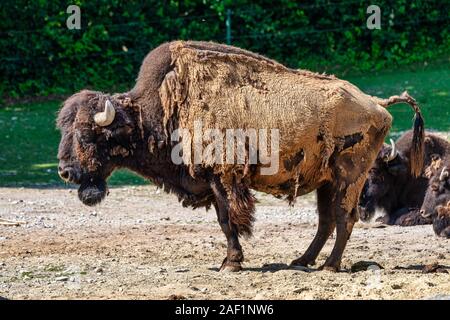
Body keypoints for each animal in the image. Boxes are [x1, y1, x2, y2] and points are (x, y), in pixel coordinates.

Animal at [57, 40, 426, 272]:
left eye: (88, 134)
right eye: (64, 129)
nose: (65, 171)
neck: (159, 108)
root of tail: (376, 103)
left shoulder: (222, 179)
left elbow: (228, 220)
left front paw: (230, 263)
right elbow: (226, 221)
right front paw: (232, 260)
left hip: (349, 177)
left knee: (343, 217)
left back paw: (329, 266)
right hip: (326, 181)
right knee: (326, 221)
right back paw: (302, 261)